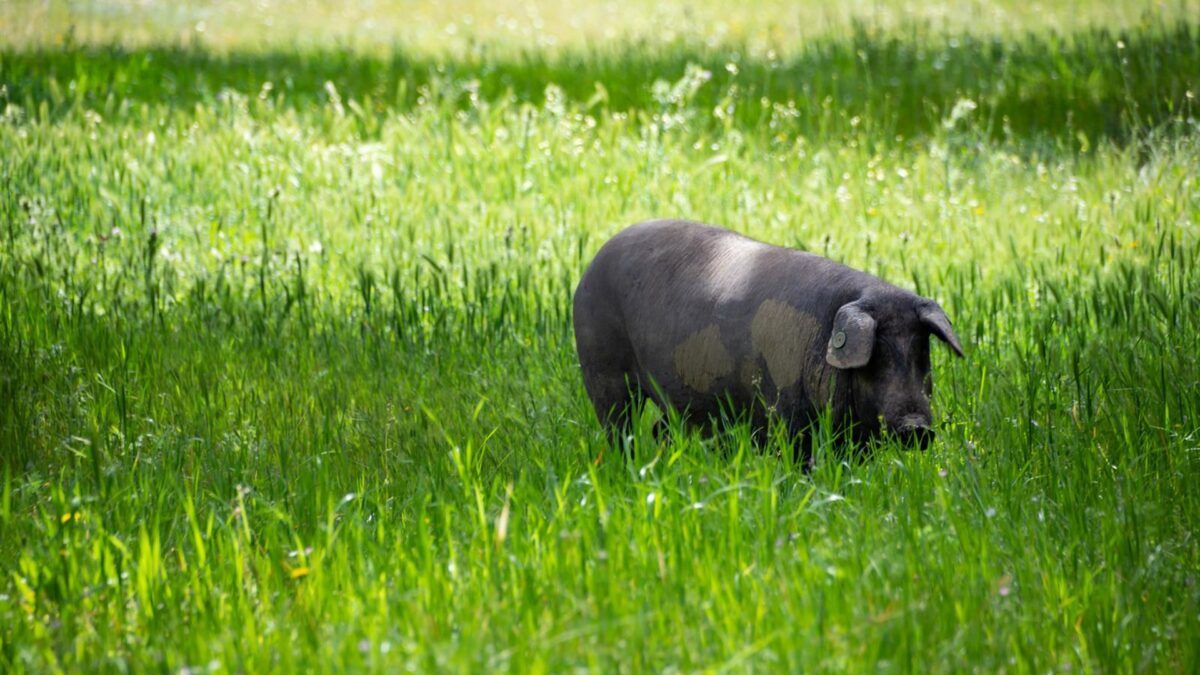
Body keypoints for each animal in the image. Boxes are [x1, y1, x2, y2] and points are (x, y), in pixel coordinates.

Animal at [572, 220, 964, 457]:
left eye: (921, 355)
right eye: (876, 358)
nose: (916, 427)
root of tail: (593, 263)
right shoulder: (782, 410)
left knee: (661, 428)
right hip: (601, 367)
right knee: (618, 425)